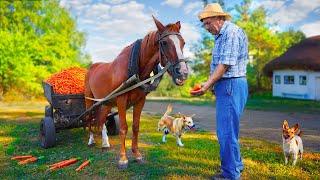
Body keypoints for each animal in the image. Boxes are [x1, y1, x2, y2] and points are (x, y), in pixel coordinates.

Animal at [84, 16, 189, 169]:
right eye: (164, 42)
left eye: (183, 42)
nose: (183, 72)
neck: (133, 68)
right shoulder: (121, 101)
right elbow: (123, 128)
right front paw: (123, 159)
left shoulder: (140, 101)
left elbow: (135, 127)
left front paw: (137, 154)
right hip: (89, 99)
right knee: (88, 117)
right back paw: (91, 140)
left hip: (105, 102)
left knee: (102, 119)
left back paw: (105, 142)